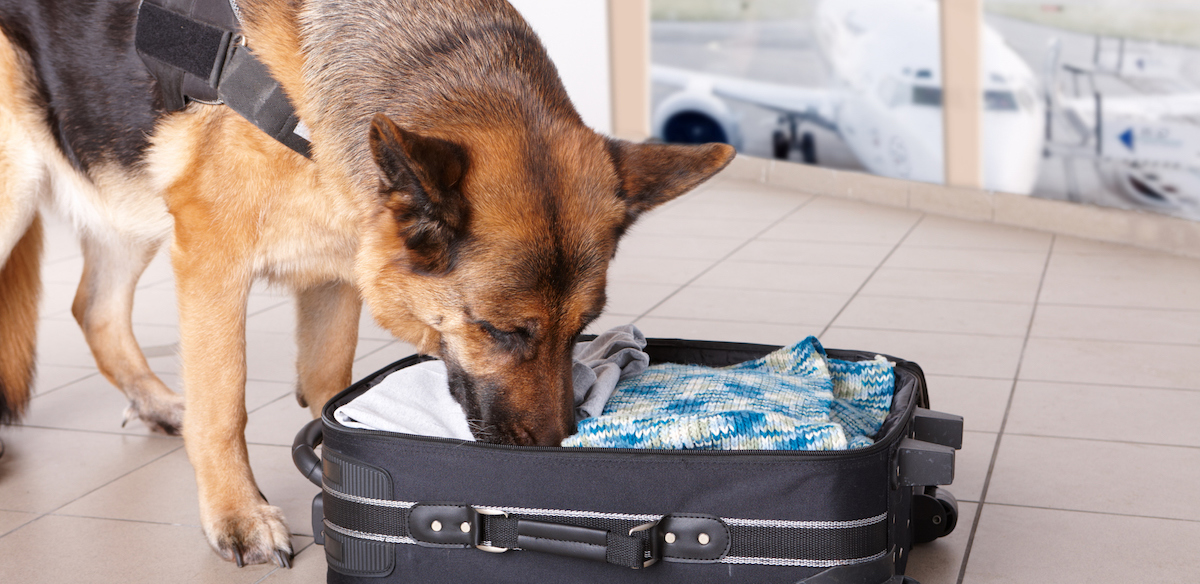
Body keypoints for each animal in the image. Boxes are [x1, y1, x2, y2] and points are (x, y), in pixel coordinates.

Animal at [0, 0, 729, 568]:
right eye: (500, 331)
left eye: (582, 330)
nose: (556, 451)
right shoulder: (211, 261)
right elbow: (224, 405)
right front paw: (237, 515)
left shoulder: (341, 268)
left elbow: (329, 382)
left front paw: (338, 453)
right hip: (21, 196)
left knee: (92, 307)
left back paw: (155, 402)